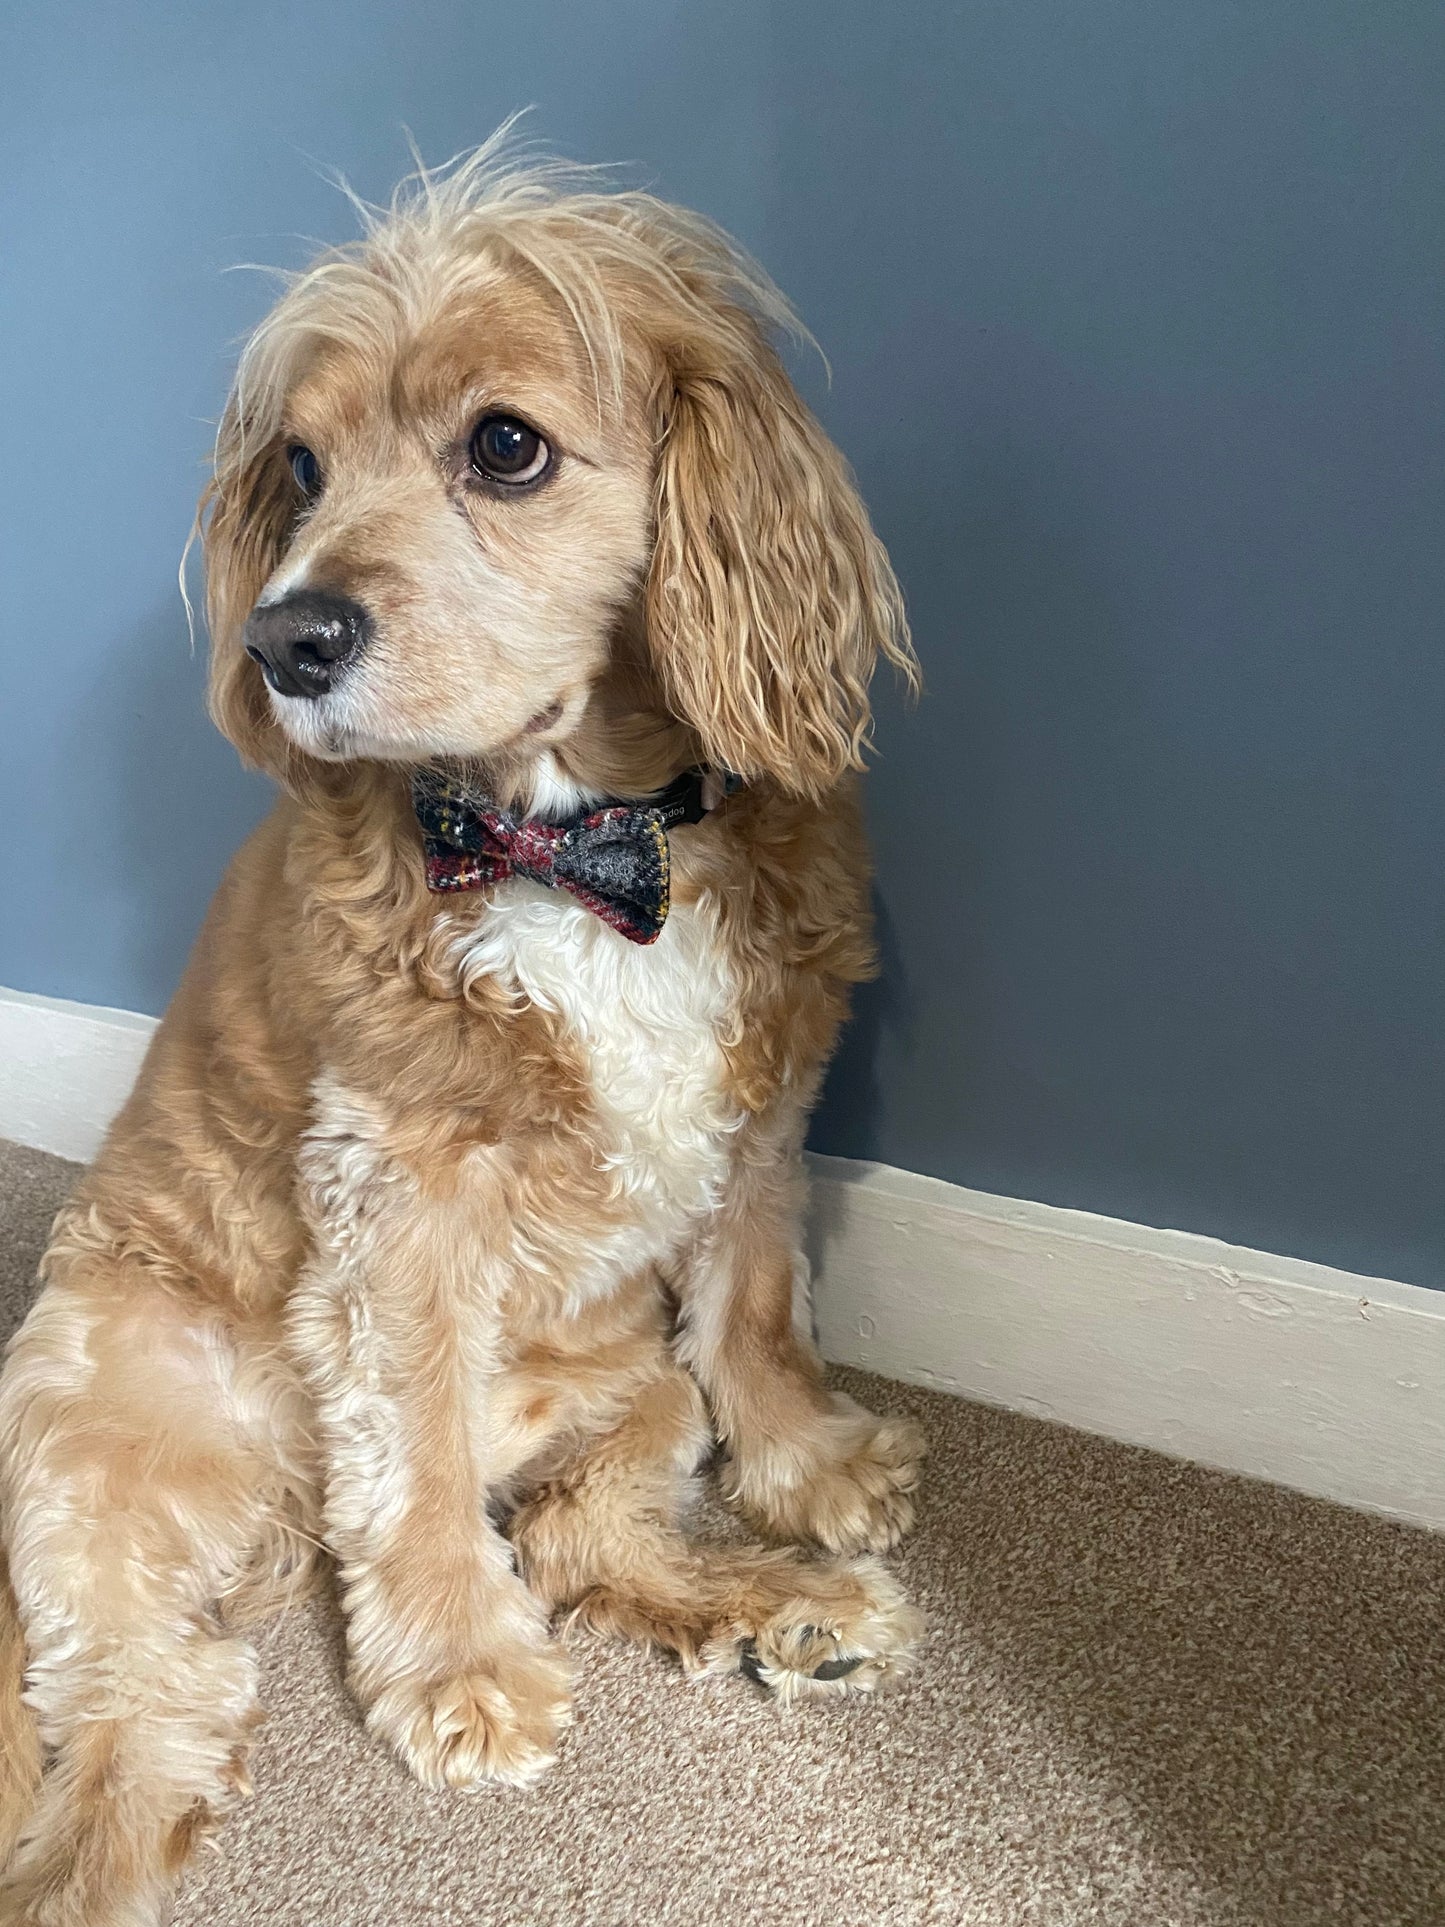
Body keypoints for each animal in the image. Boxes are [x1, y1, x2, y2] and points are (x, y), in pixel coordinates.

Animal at [0, 139, 920, 1927]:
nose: (282, 639)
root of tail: (285, 1509)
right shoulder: (398, 1190)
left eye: (506, 446)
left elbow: (756, 1302)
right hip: (103, 1445)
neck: (575, 839)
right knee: (142, 1707)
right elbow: (414, 1441)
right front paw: (455, 1668)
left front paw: (807, 1461)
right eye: (298, 465)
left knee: (575, 1532)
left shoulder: (764, 1101)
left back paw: (787, 1606)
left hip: (629, 1388)